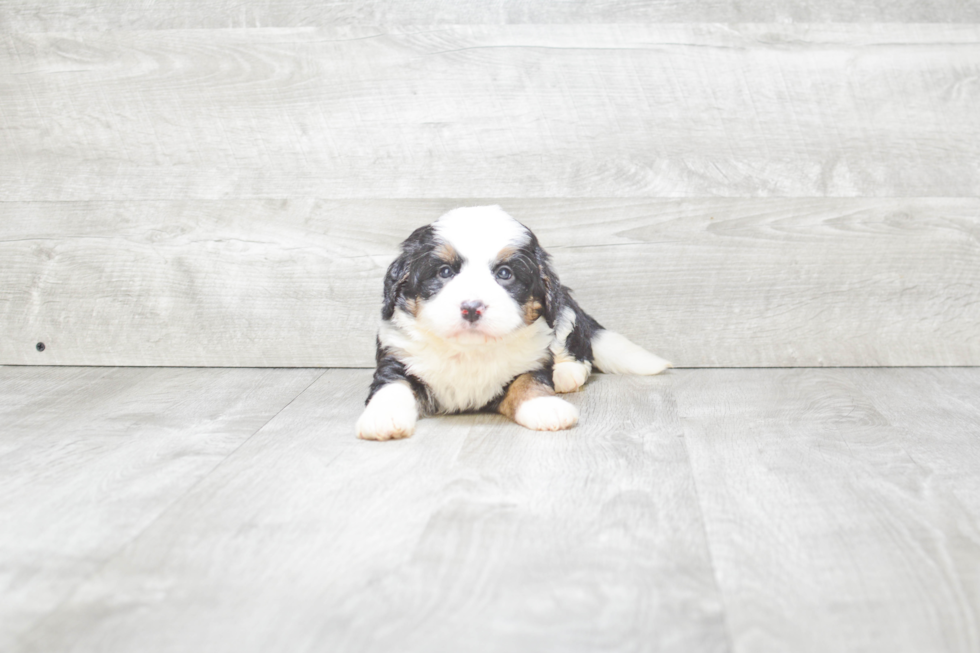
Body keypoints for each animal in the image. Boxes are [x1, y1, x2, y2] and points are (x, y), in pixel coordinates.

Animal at [356, 205, 668, 438]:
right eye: (444, 271)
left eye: (505, 274)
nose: (472, 308)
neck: (469, 351)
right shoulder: (398, 356)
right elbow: (393, 386)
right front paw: (383, 418)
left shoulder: (533, 358)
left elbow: (528, 382)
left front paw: (546, 407)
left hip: (564, 312)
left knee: (580, 351)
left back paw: (565, 373)